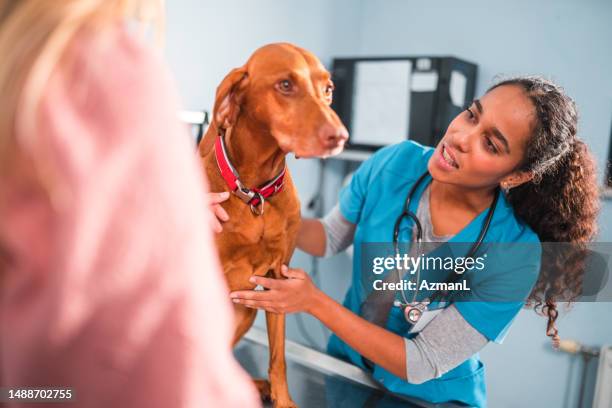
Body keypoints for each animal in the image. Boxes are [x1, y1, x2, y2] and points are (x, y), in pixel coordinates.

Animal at [198, 43, 346, 406]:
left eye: (328, 90)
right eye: (285, 85)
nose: (340, 136)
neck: (254, 194)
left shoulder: (279, 281)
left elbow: (278, 358)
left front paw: (282, 398)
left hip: (245, 311)